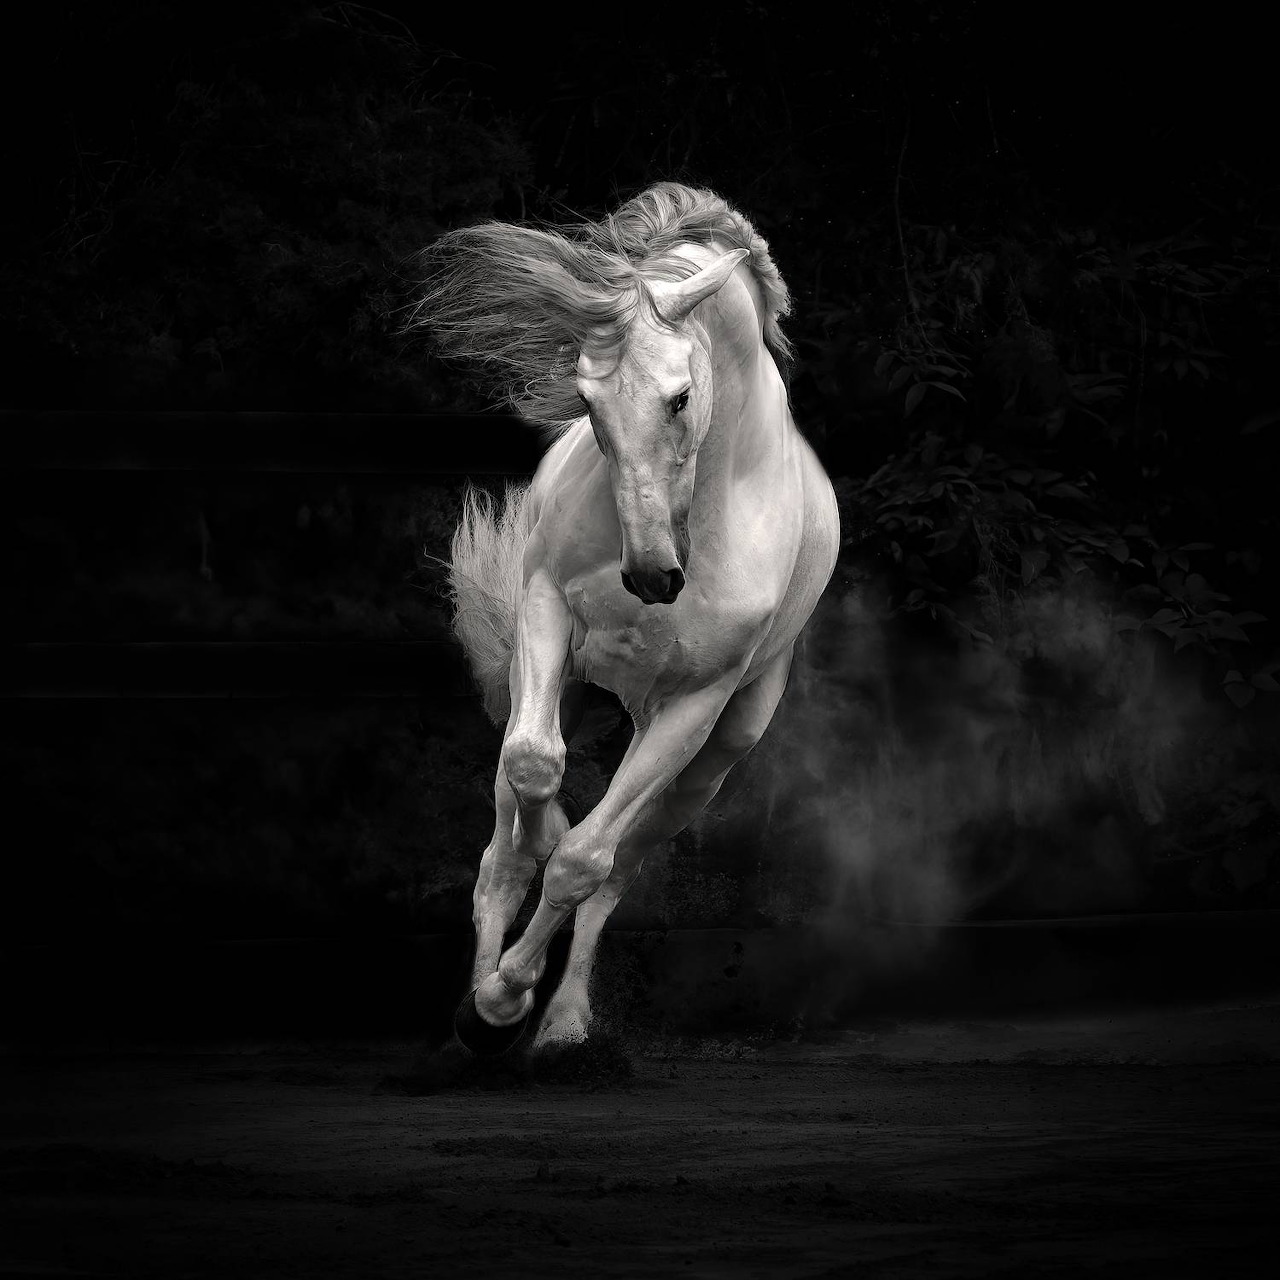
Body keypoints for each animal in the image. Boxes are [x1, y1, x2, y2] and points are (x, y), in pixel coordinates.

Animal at [414, 182, 839, 1053]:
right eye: (586, 399)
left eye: (680, 396)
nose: (650, 576)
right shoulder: (545, 610)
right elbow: (534, 770)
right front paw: (489, 1000)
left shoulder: (694, 703)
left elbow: (585, 863)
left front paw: (510, 999)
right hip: (558, 686)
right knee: (501, 851)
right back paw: (480, 1005)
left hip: (702, 761)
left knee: (617, 866)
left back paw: (558, 1022)